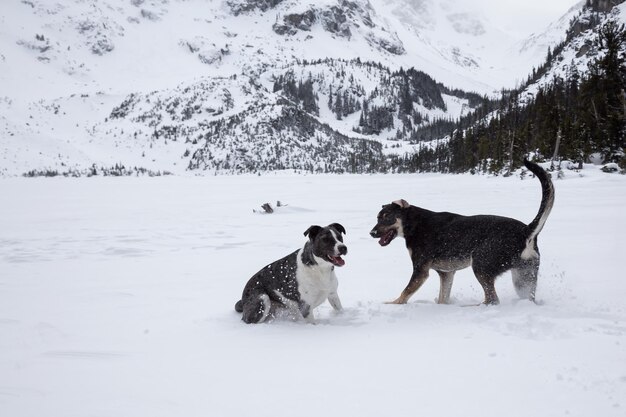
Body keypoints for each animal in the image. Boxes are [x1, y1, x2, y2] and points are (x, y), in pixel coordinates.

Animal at [368, 159, 552, 306]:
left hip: (481, 265)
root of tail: (526, 231)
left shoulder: (420, 270)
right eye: (377, 217)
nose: (372, 233)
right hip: (524, 277)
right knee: (526, 298)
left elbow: (405, 293)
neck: (413, 224)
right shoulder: (446, 273)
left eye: (387, 217)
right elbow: (443, 297)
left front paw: (392, 304)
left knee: (492, 299)